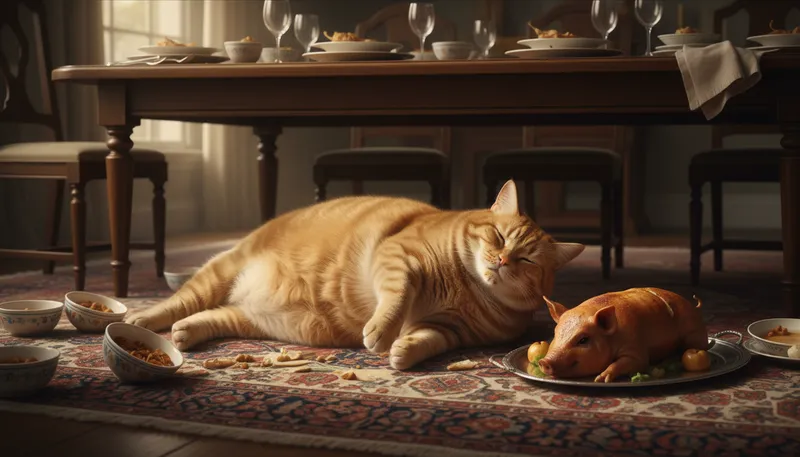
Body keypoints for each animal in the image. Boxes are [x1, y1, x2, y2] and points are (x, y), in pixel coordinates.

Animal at [537, 287, 709, 383]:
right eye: (555, 333)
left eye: (583, 340)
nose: (544, 361)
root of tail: (694, 307)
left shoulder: (636, 348)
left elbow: (631, 362)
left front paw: (601, 379)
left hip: (695, 334)